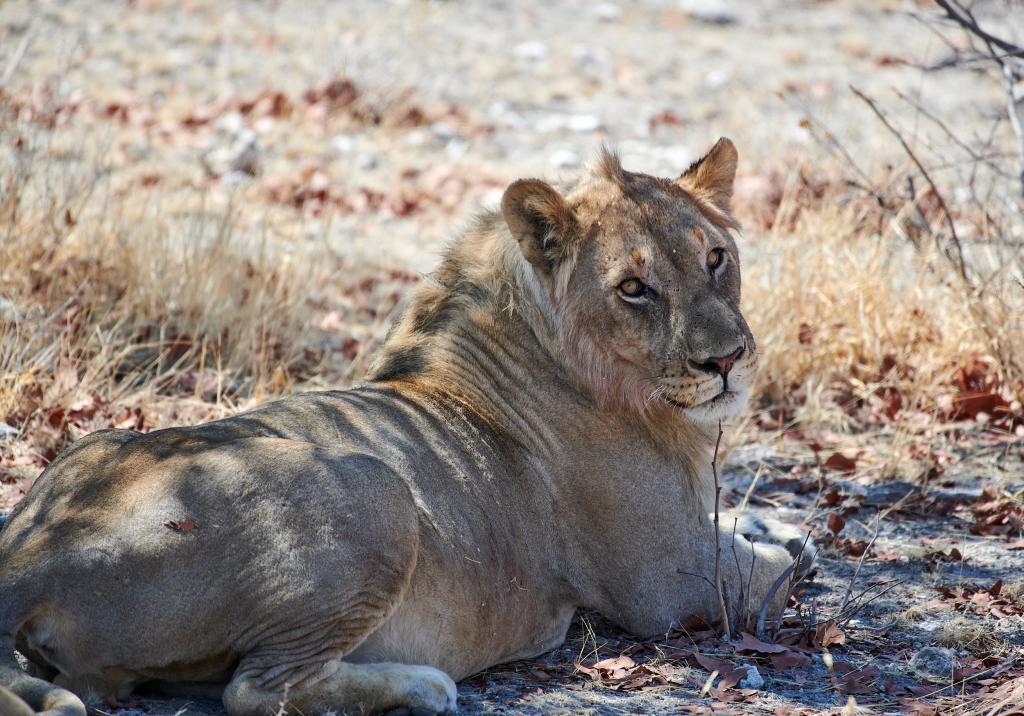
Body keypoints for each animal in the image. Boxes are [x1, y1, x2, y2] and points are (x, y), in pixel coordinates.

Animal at [2, 140, 815, 716]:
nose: (727, 360)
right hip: (374, 489)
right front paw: (789, 546)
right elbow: (782, 572)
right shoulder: (670, 583)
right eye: (634, 289)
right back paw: (423, 687)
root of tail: (31, 553)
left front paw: (778, 522)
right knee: (258, 690)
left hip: (96, 448)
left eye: (716, 259)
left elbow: (770, 532)